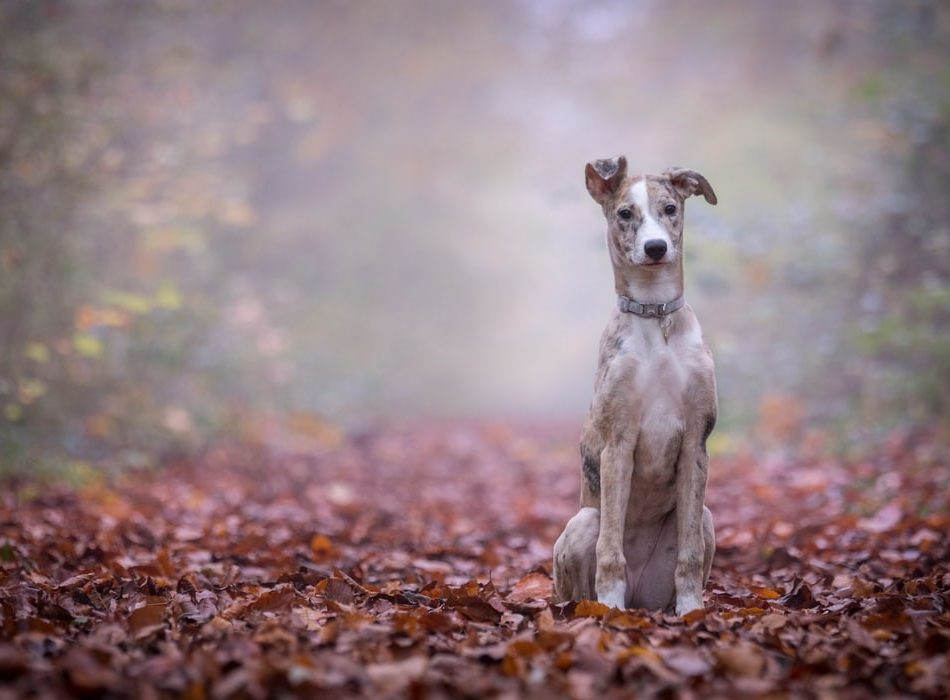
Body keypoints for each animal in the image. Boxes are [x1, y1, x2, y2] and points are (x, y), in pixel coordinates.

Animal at [552, 157, 720, 612]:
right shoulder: (618, 442)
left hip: (707, 519)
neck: (655, 314)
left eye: (670, 208)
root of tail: (642, 598)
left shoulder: (696, 440)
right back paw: (600, 607)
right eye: (625, 213)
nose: (656, 248)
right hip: (583, 522)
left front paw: (692, 611)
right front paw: (611, 611)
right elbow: (610, 550)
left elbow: (689, 554)